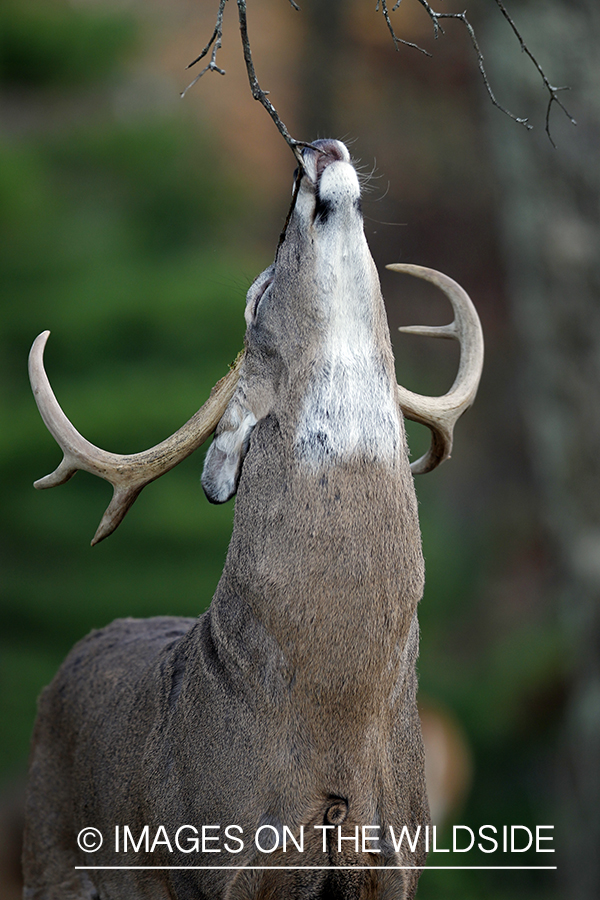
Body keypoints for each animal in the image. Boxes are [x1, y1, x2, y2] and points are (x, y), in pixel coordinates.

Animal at [23, 141, 482, 900]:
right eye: (260, 293)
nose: (317, 151)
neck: (333, 718)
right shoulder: (218, 864)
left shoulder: (397, 863)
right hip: (43, 855)